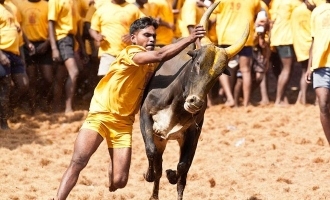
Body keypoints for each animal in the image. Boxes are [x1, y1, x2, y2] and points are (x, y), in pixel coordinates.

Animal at [138, 1, 249, 200]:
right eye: (197, 63)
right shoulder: (146, 118)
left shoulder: (193, 132)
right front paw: (148, 174)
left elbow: (182, 168)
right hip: (161, 138)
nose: (195, 102)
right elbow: (151, 152)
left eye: (219, 73)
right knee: (157, 162)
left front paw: (172, 174)